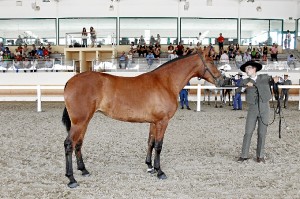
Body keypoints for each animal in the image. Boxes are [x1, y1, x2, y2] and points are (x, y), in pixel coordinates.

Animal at [61, 49, 223, 188]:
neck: (165, 82)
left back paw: (83, 170)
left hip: (84, 122)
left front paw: (150, 167)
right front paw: (159, 171)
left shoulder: (154, 122)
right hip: (79, 122)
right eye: (211, 61)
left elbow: (150, 142)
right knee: (69, 144)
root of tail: (70, 81)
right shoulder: (163, 122)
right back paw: (71, 179)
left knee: (78, 144)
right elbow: (159, 145)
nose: (223, 80)